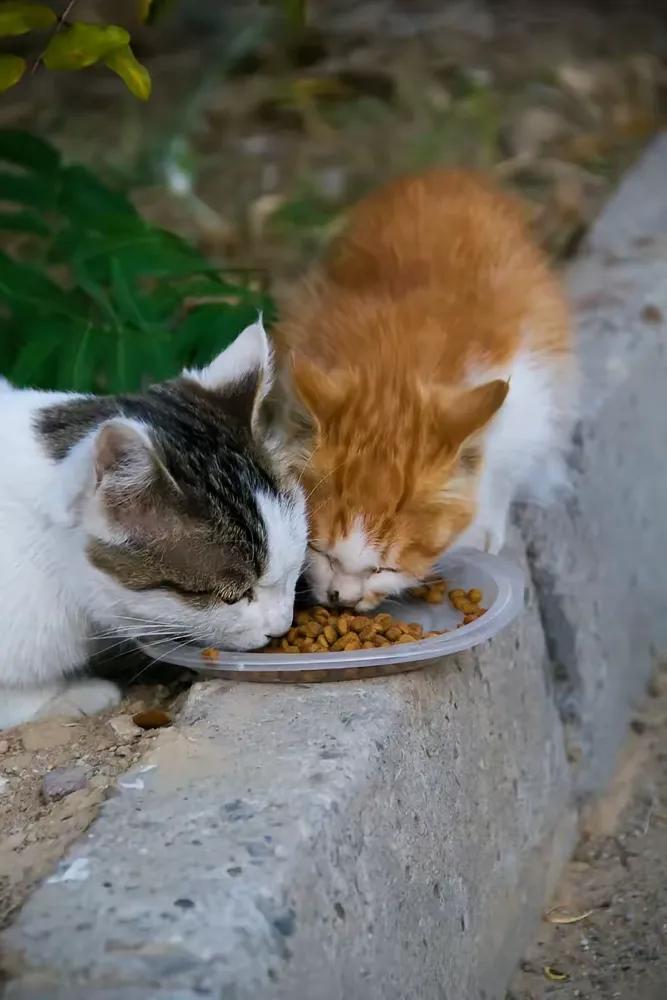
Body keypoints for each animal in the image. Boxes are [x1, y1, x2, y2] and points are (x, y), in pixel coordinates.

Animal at [272, 166, 576, 608]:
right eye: (321, 551)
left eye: (384, 569)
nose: (341, 598)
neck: (396, 369)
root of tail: (449, 172)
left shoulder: (528, 390)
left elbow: (502, 470)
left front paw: (482, 526)